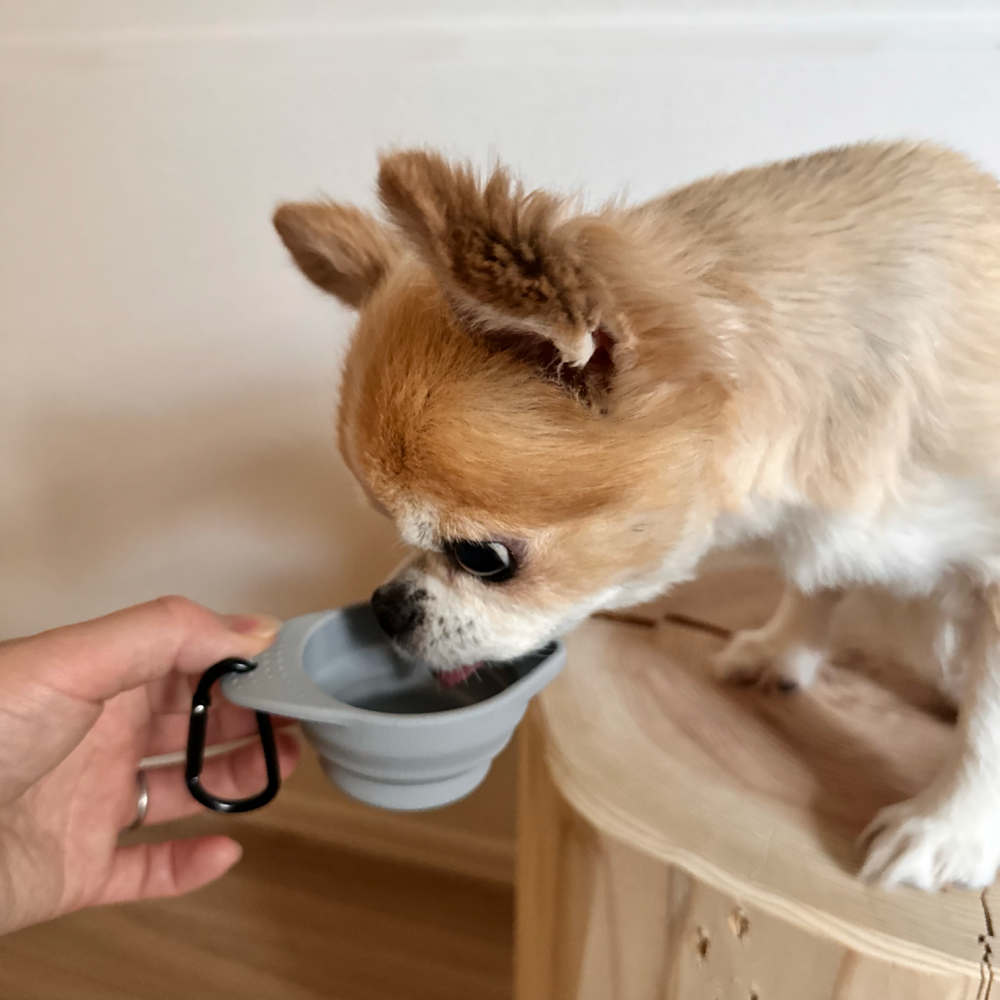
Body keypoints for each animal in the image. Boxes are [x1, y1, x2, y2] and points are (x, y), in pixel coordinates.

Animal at [274, 143, 1000, 892]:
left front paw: (949, 828)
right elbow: (817, 580)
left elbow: (988, 719)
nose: (386, 607)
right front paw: (782, 649)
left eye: (482, 558)